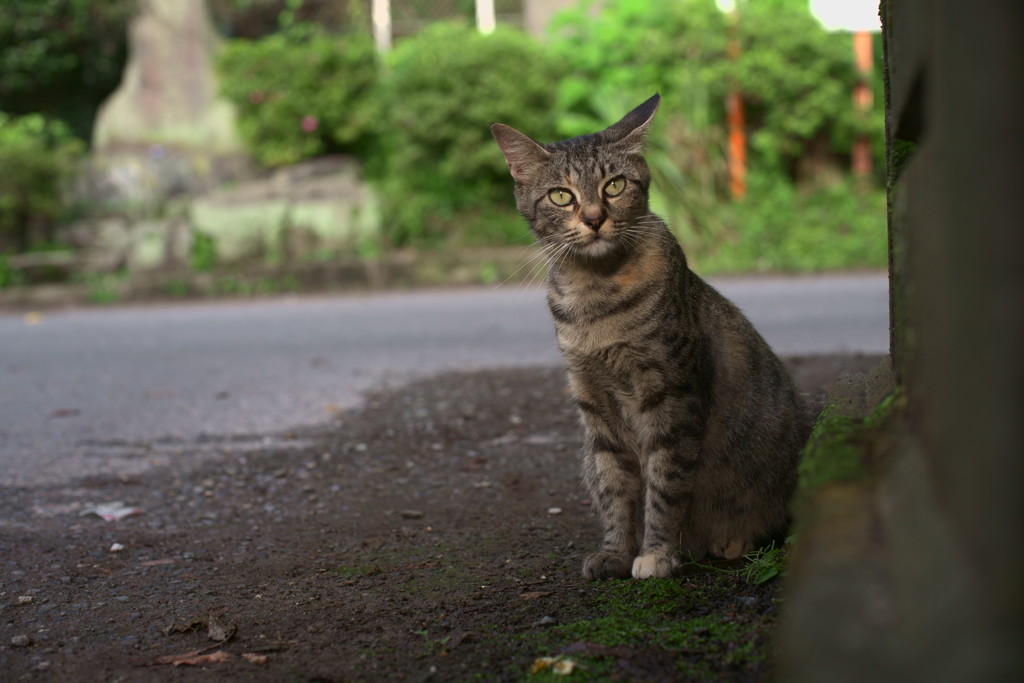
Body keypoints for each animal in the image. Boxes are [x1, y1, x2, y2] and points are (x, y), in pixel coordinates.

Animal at [491, 93, 811, 581]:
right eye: (561, 195)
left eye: (615, 186)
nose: (594, 218)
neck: (596, 297)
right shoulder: (596, 408)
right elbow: (615, 488)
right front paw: (616, 552)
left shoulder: (672, 397)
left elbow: (665, 485)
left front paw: (657, 553)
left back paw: (731, 541)